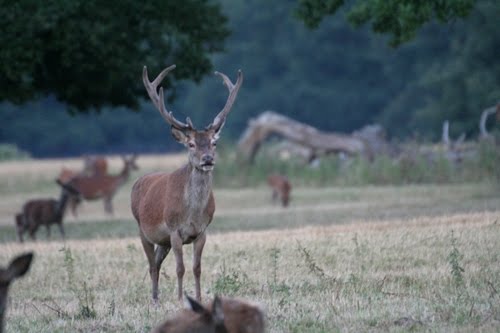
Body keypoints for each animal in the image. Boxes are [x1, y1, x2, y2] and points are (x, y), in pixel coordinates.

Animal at [132, 64, 243, 300]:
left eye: (214, 143)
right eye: (191, 144)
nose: (207, 159)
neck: (192, 213)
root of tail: (138, 181)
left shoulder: (202, 231)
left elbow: (196, 268)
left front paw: (199, 298)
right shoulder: (174, 230)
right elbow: (180, 268)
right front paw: (181, 298)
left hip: (162, 241)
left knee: (157, 263)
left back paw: (156, 297)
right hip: (142, 229)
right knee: (151, 265)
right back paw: (154, 298)